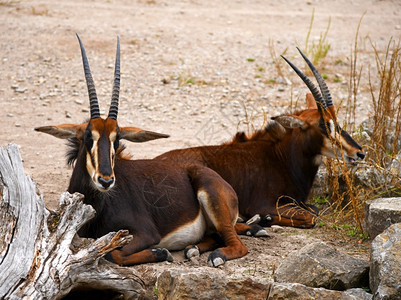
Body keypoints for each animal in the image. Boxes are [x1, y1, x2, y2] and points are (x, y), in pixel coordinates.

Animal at [34, 35, 266, 268]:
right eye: (88, 137)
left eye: (117, 139)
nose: (106, 180)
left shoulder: (146, 234)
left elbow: (113, 255)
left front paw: (162, 252)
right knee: (219, 235)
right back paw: (201, 246)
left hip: (213, 200)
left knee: (237, 244)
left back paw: (218, 254)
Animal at [155, 48, 362, 229]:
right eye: (324, 125)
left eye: (336, 120)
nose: (360, 153)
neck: (283, 159)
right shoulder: (263, 204)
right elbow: (310, 216)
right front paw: (263, 218)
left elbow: (315, 209)